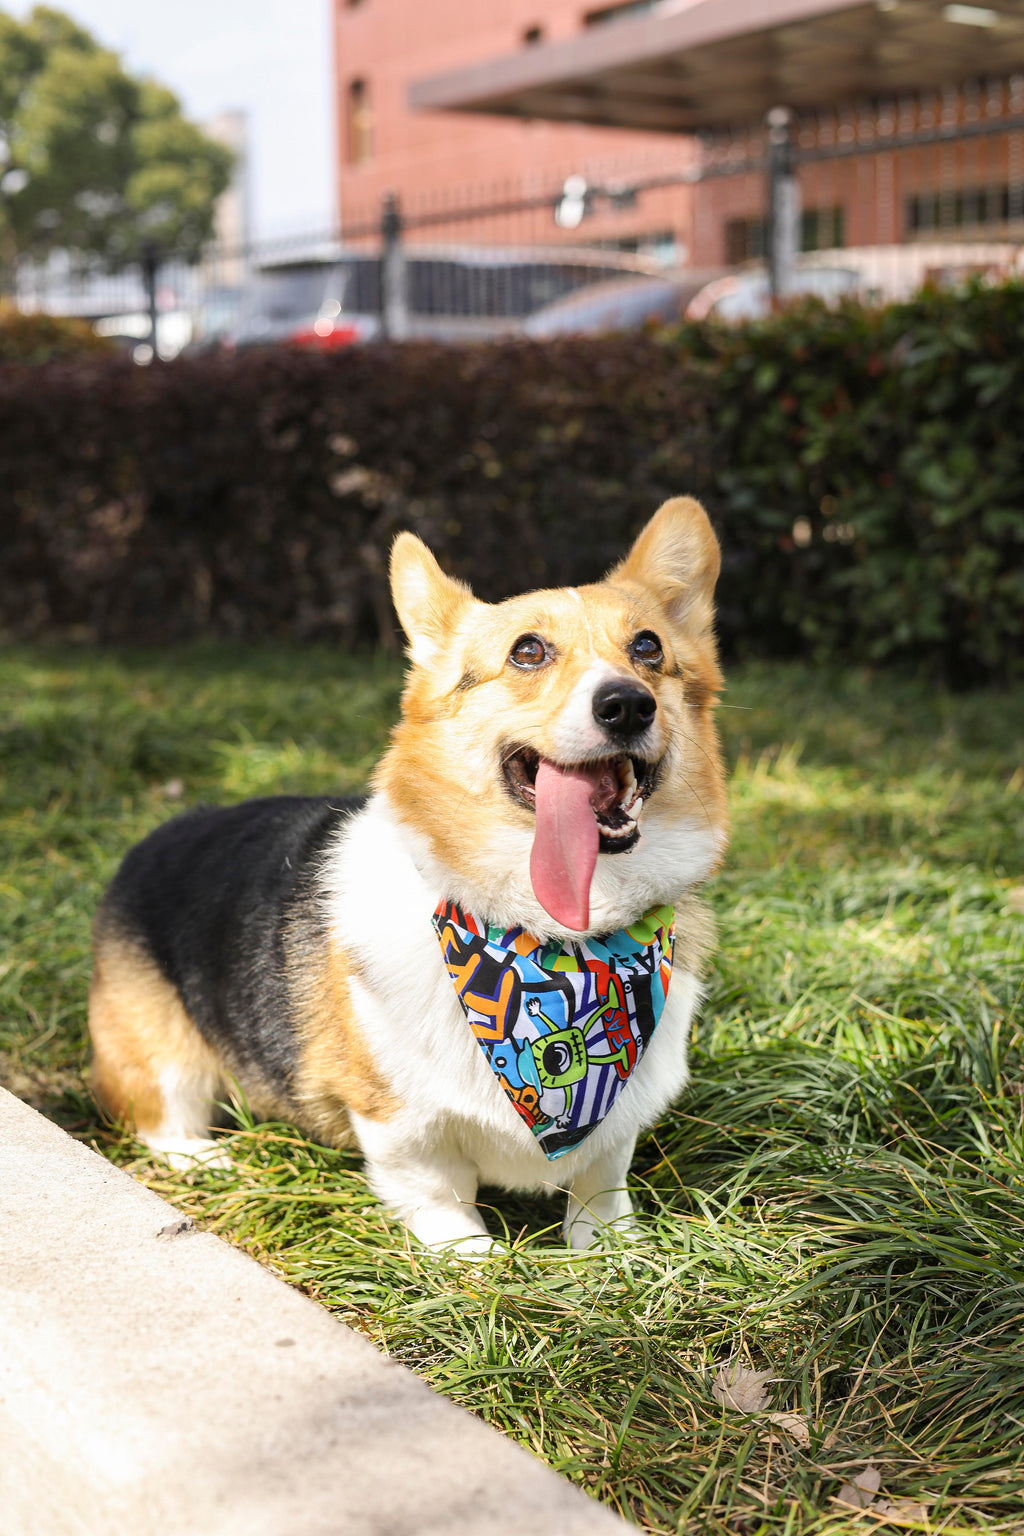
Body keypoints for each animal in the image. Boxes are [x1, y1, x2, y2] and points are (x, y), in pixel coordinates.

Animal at [90, 500, 727, 1247]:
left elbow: (601, 1181)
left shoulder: (617, 1121)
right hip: (161, 1059)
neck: (554, 939)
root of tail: (162, 831)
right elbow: (439, 1193)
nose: (627, 703)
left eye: (648, 647)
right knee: (161, 1120)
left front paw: (613, 1250)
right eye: (528, 651)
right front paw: (473, 1258)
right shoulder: (397, 1120)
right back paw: (208, 1158)